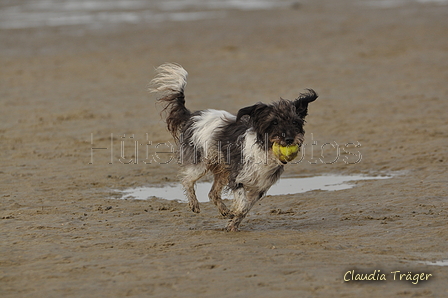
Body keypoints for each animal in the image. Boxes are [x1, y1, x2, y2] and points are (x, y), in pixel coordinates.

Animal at [149, 62, 316, 230]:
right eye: (274, 122)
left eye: (295, 122)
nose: (289, 138)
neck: (264, 150)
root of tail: (192, 116)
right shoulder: (237, 178)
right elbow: (243, 204)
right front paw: (234, 216)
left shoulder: (259, 187)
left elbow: (245, 208)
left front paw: (232, 224)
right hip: (201, 163)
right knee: (187, 181)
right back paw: (194, 204)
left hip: (222, 169)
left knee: (212, 193)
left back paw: (224, 211)